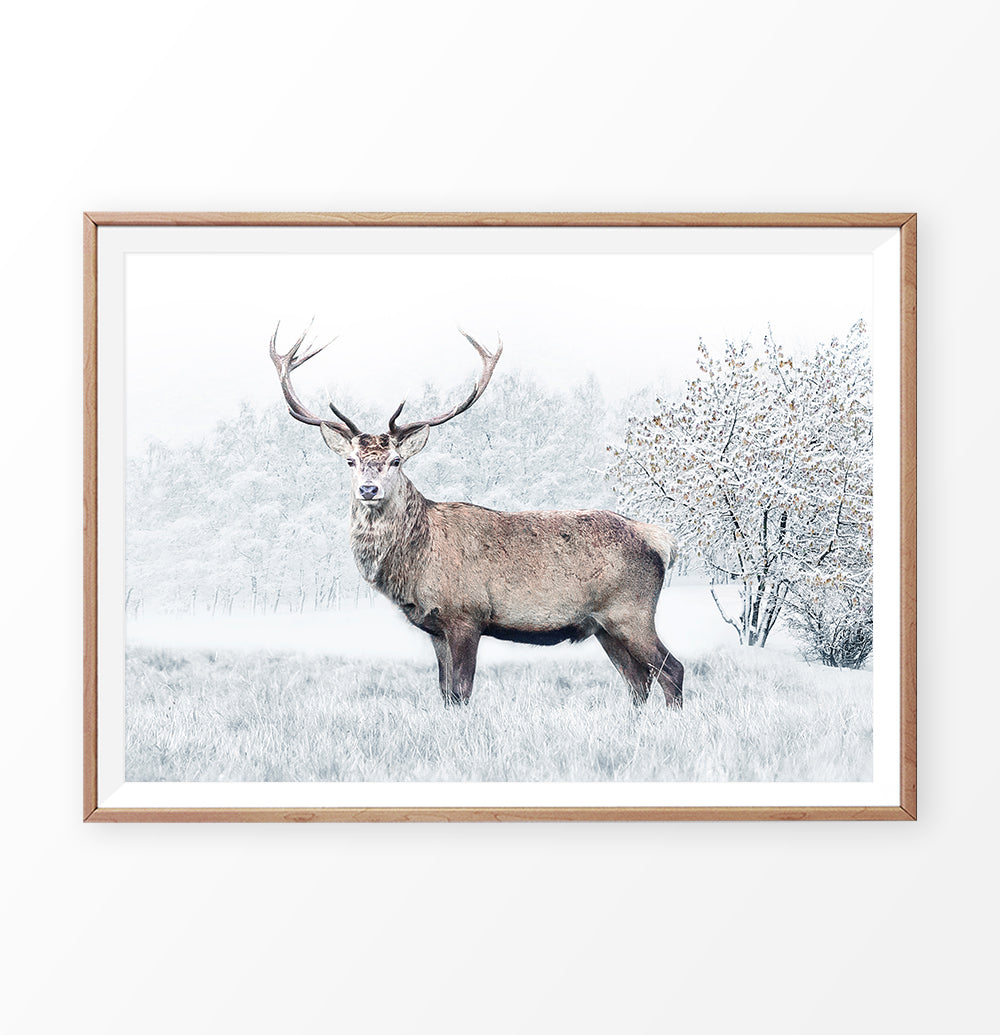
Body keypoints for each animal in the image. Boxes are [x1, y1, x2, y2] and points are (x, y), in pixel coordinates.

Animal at [269, 327, 684, 708]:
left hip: (631, 611)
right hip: (602, 625)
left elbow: (462, 690)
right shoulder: (435, 628)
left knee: (670, 669)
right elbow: (445, 693)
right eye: (351, 461)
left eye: (396, 461)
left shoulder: (467, 615)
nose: (368, 490)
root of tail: (659, 539)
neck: (416, 561)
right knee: (637, 682)